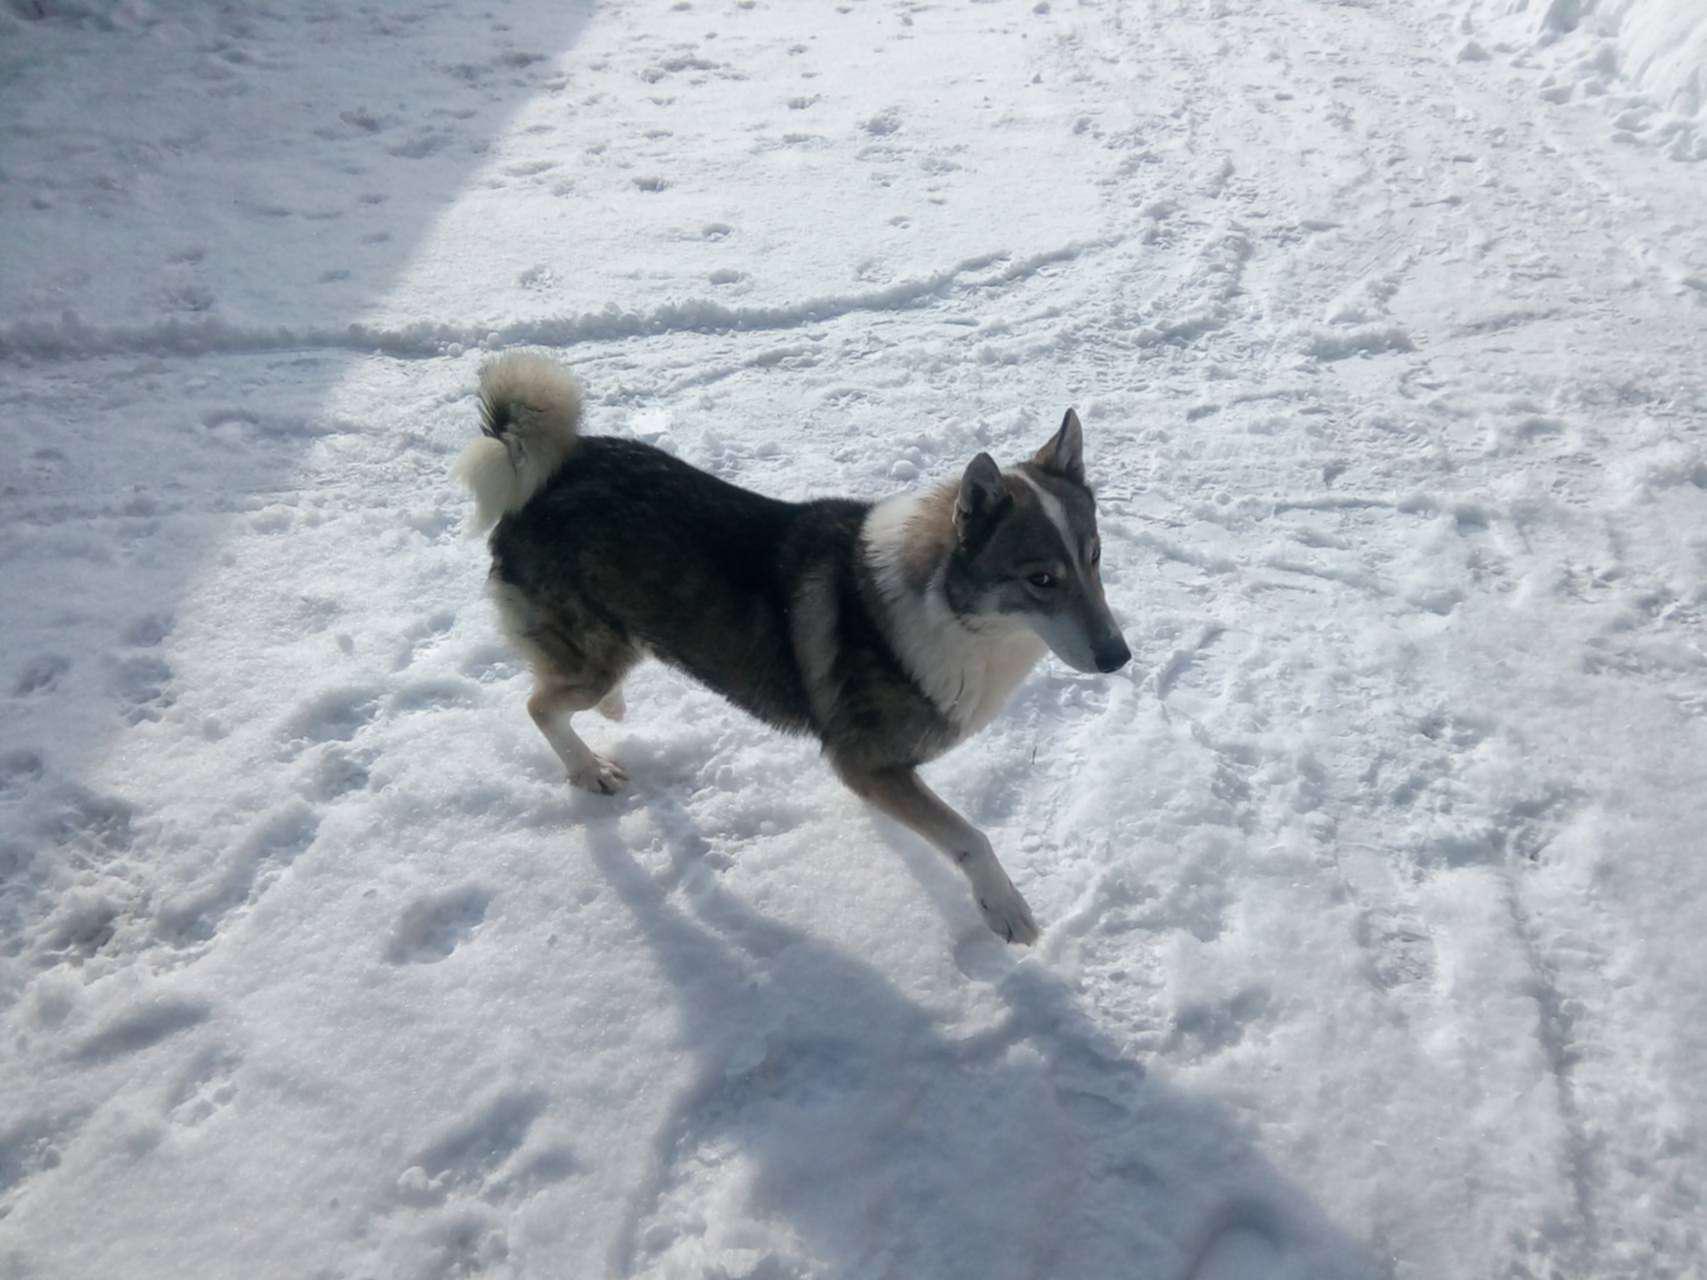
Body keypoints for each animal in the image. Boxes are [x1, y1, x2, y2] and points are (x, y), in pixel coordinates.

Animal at [454, 351, 1126, 942]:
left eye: (1094, 557)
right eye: (1042, 579)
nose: (1119, 657)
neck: (954, 615)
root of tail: (541, 472)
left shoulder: (876, 770)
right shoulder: (865, 761)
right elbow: (969, 837)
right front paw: (1005, 910)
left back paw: (610, 713)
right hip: (595, 654)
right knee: (542, 704)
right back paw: (589, 768)